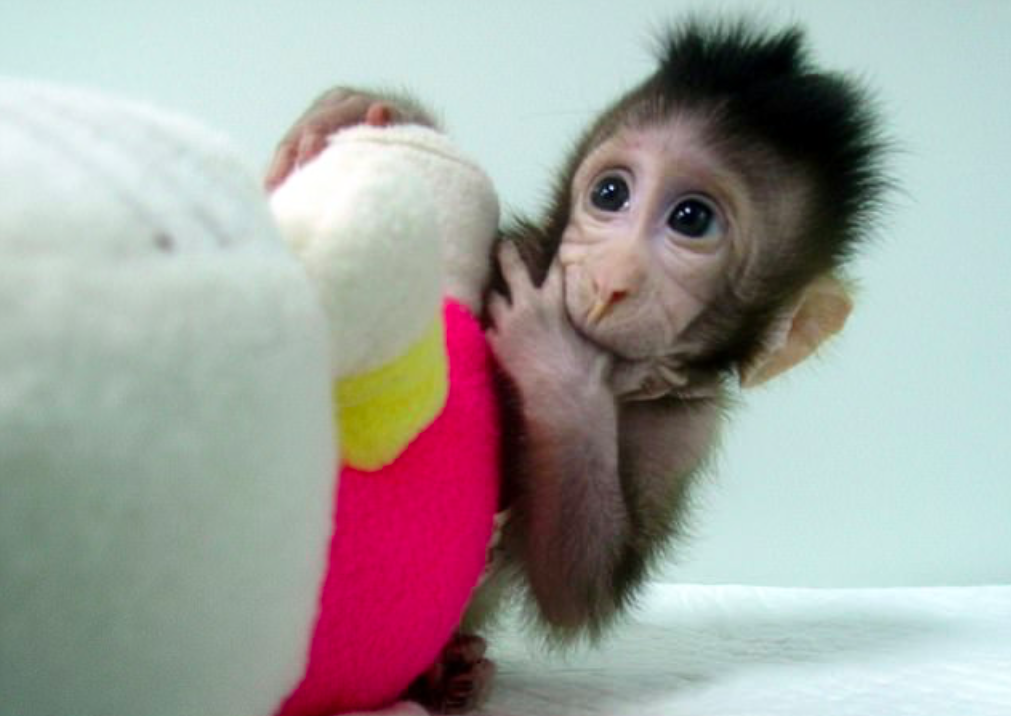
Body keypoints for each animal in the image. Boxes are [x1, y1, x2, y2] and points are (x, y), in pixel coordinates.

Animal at [265, 17, 888, 713]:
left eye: (692, 219)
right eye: (610, 193)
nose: (611, 281)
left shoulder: (687, 427)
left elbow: (575, 591)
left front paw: (558, 367)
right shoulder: (521, 251)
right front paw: (359, 109)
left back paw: (448, 678)